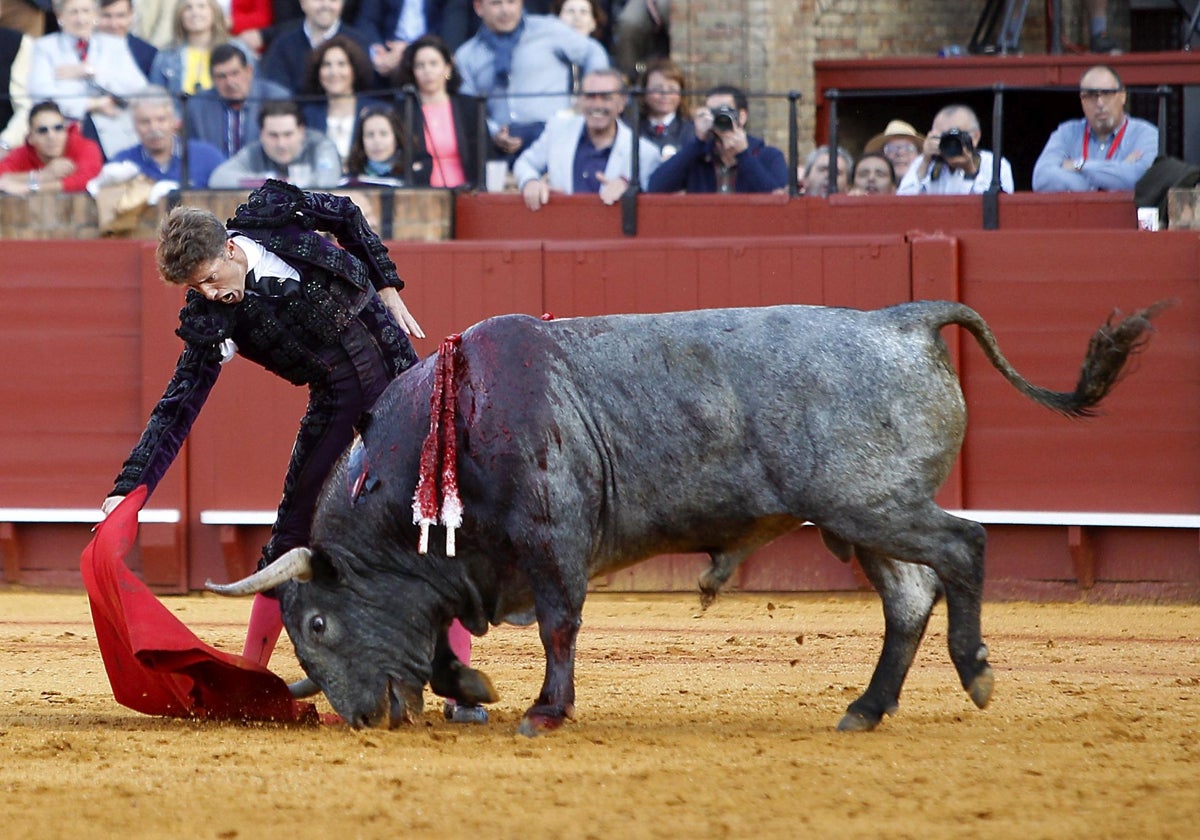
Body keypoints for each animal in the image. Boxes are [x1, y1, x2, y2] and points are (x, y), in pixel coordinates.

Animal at [208, 302, 1161, 734]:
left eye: (319, 623)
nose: (363, 717)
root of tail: (903, 318)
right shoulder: (469, 571)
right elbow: (446, 643)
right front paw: (474, 688)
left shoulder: (552, 544)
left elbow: (558, 627)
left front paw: (544, 711)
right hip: (866, 518)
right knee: (908, 598)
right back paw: (866, 707)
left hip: (871, 502)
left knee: (965, 545)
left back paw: (975, 670)